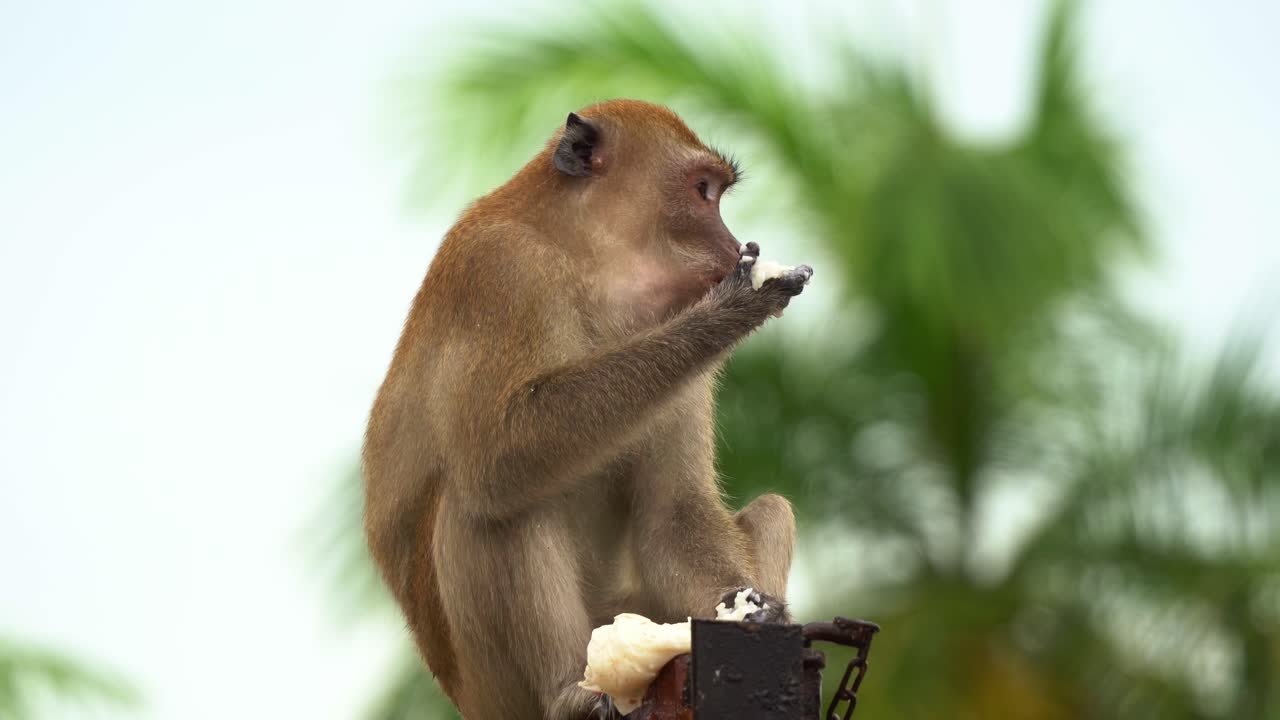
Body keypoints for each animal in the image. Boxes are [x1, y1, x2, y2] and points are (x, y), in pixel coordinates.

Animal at [362, 99, 813, 720]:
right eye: (703, 192)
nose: (732, 245)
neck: (587, 264)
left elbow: (673, 512)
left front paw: (755, 611)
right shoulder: (501, 271)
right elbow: (494, 455)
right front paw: (734, 308)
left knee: (771, 510)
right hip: (495, 688)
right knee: (492, 501)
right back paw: (567, 691)